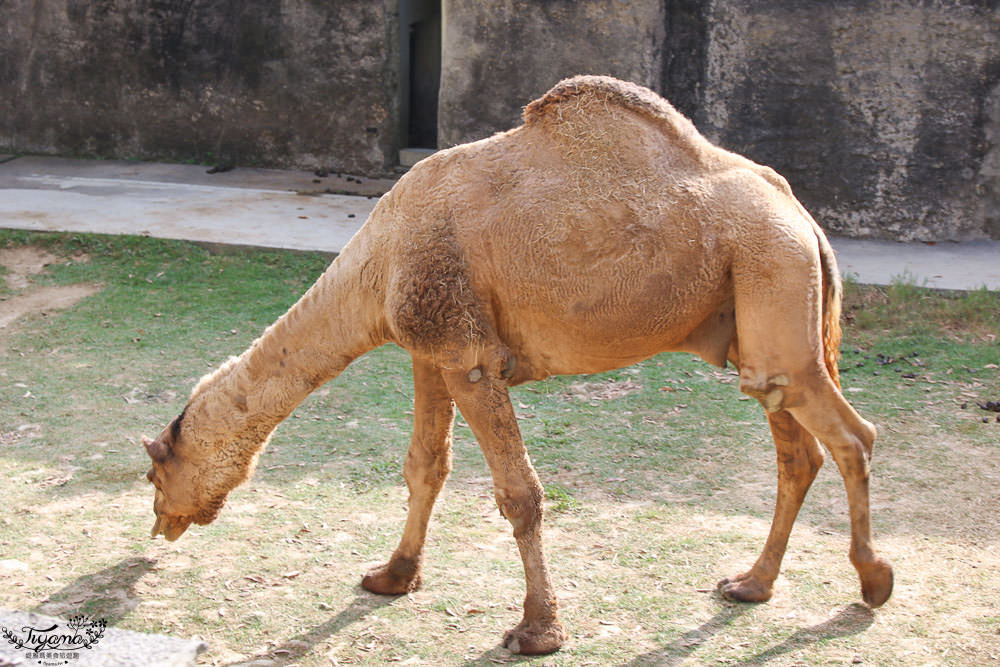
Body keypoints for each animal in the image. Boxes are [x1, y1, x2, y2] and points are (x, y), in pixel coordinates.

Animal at [139, 77, 892, 652]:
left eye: (156, 469)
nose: (159, 522)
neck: (377, 263)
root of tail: (800, 213)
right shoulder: (429, 351)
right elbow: (425, 466)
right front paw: (393, 575)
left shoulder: (469, 356)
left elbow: (518, 493)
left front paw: (537, 631)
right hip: (757, 318)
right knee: (794, 443)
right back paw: (750, 584)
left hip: (772, 272)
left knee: (853, 436)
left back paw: (873, 580)